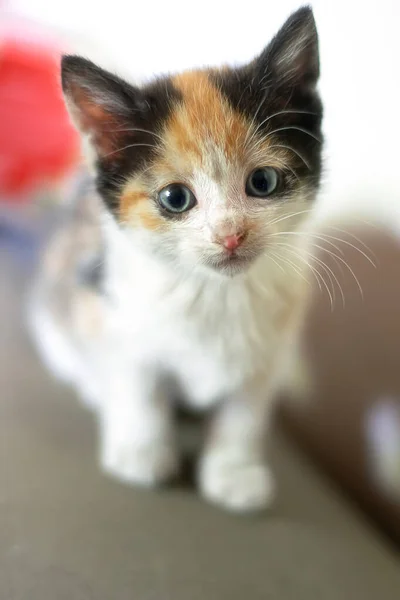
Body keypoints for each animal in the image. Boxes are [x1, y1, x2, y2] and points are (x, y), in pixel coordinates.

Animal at [30, 5, 324, 510]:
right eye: (175, 198)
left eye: (263, 182)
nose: (230, 235)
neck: (214, 292)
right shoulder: (117, 315)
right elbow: (138, 383)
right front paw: (142, 452)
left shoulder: (268, 351)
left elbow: (244, 413)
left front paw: (234, 471)